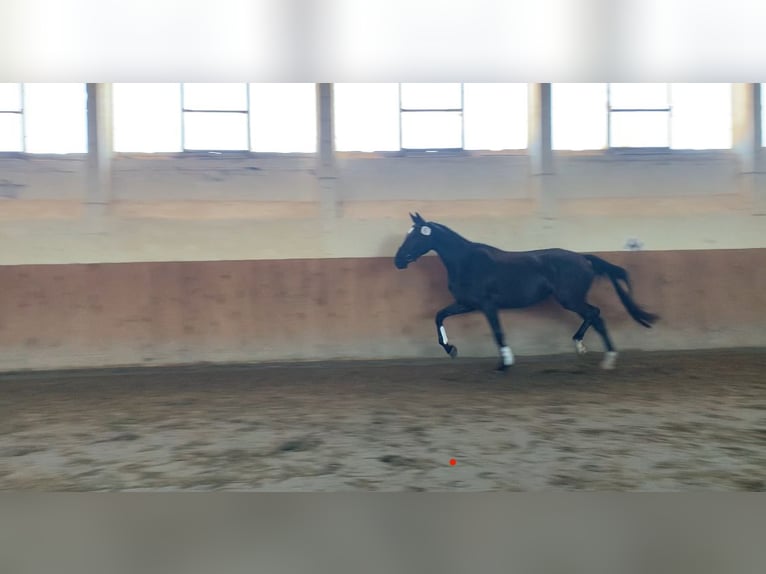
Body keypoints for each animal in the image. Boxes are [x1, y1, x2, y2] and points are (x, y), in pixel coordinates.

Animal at [393, 212, 658, 372]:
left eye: (415, 235)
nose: (398, 261)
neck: (465, 261)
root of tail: (584, 258)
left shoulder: (487, 305)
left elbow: (498, 332)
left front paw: (505, 363)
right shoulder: (467, 303)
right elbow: (439, 316)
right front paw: (451, 349)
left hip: (570, 299)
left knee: (595, 314)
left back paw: (607, 358)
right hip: (571, 299)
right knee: (594, 314)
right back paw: (582, 346)